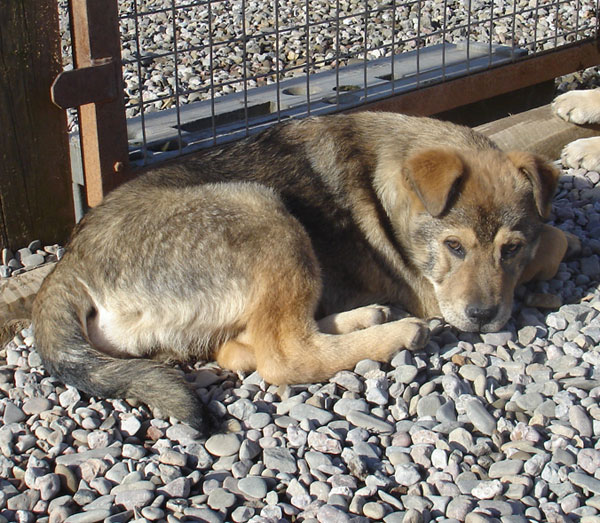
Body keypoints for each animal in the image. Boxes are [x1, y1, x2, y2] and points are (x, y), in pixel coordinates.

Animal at [34, 112, 572, 432]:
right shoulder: (430, 291)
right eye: (454, 247)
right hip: (263, 212)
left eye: (511, 248)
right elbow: (556, 241)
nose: (482, 317)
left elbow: (555, 238)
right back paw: (395, 334)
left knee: (246, 343)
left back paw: (363, 317)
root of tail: (69, 264)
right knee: (282, 354)